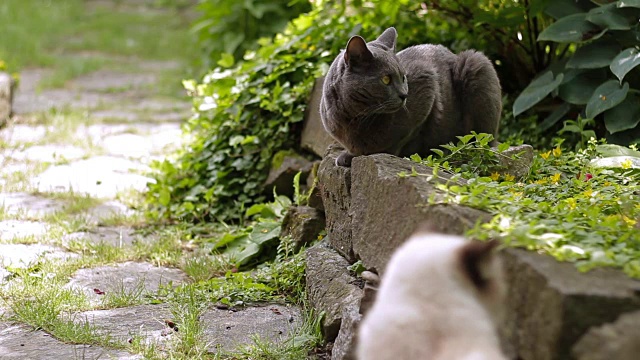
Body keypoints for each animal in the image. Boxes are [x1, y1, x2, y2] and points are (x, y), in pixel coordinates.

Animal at [320, 27, 500, 167]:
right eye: (386, 79)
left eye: (404, 77)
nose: (404, 94)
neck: (355, 116)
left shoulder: (427, 83)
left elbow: (399, 140)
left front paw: (354, 155)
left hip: (476, 63)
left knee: (483, 139)